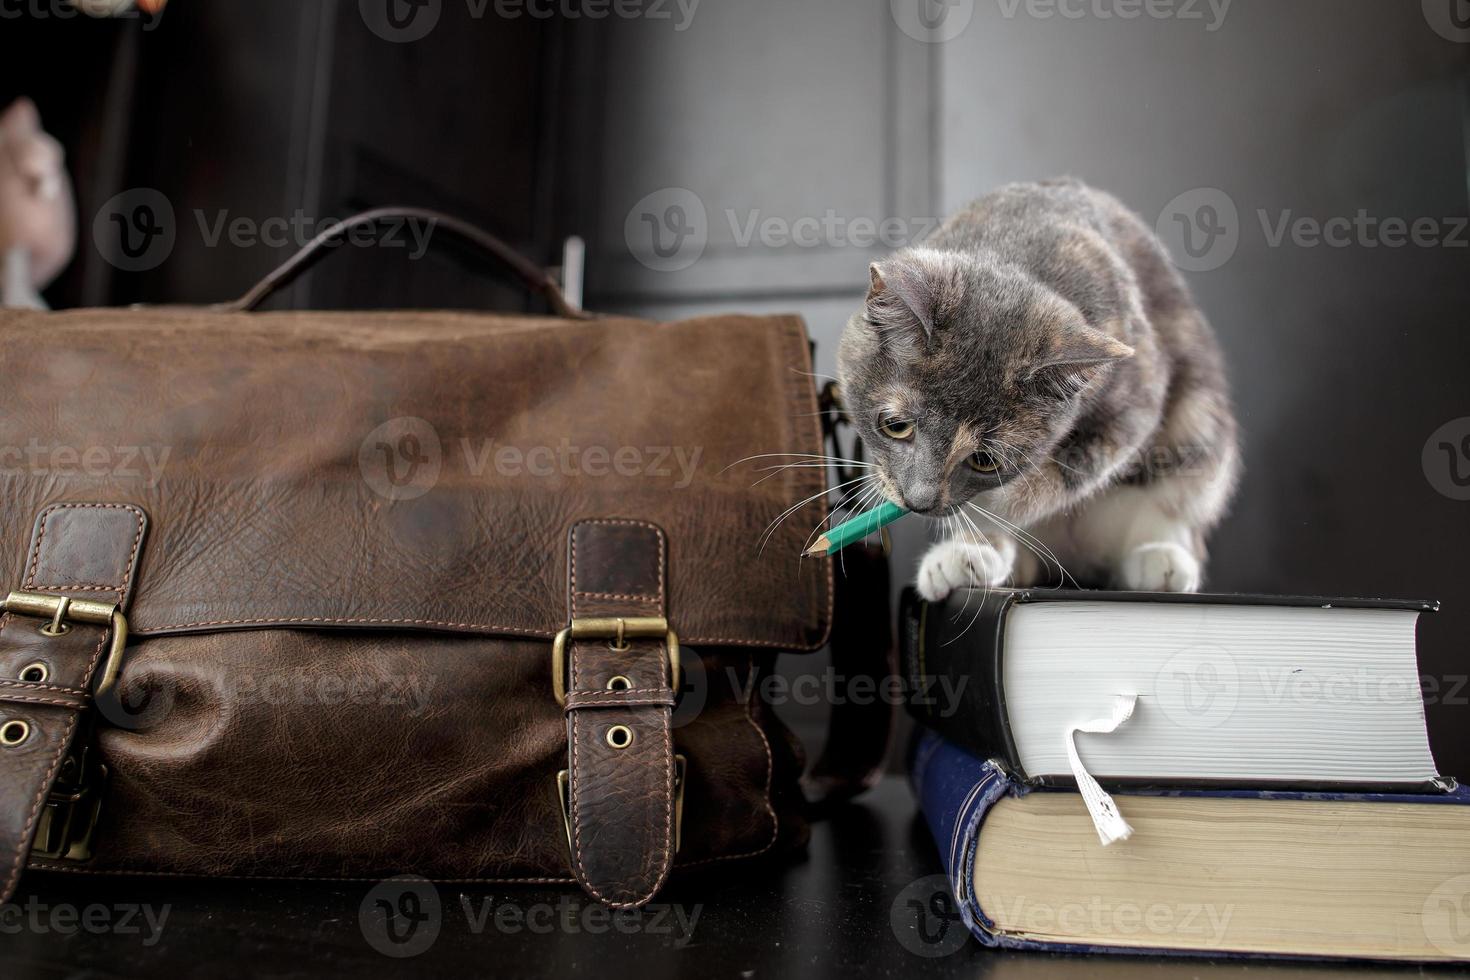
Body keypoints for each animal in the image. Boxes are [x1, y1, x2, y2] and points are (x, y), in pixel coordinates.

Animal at [840, 179, 1240, 602]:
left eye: (985, 459)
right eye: (895, 425)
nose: (918, 502)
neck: (1014, 250)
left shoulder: (1137, 394)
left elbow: (1070, 473)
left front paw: (996, 510)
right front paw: (972, 544)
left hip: (1198, 421)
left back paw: (1162, 557)